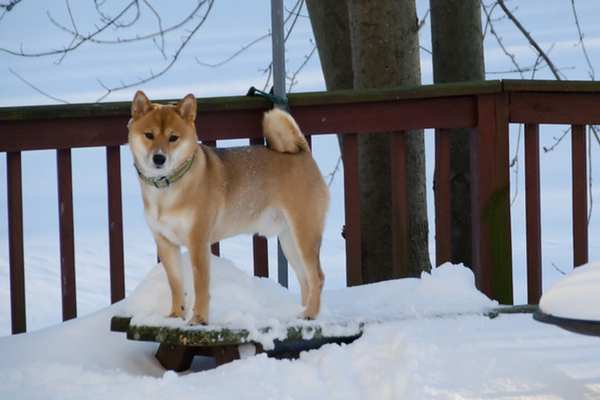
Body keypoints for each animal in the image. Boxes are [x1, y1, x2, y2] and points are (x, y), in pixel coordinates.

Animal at [126, 91, 328, 324]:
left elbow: (200, 284)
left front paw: (199, 319)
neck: (167, 190)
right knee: (305, 280)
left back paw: (311, 313)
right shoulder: (165, 242)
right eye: (149, 135)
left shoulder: (198, 240)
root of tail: (302, 152)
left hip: (304, 233)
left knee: (317, 277)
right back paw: (301, 312)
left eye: (173, 137)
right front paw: (176, 315)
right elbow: (176, 284)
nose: (159, 158)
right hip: (289, 240)